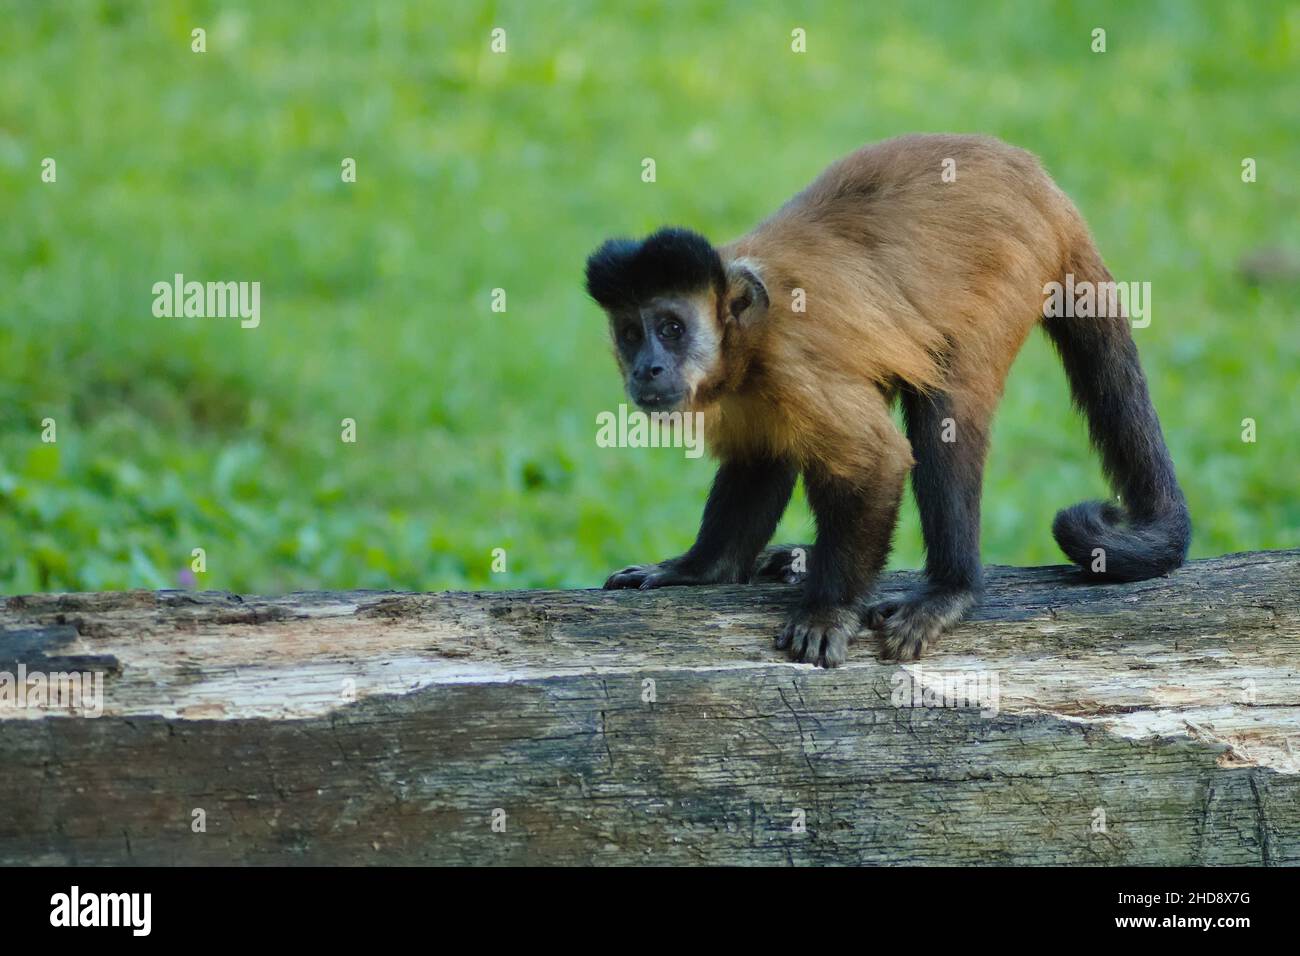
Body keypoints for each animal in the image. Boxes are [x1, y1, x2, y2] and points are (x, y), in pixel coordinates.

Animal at [585, 134, 1190, 665]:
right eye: (632, 334)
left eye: (671, 328)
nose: (647, 368)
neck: (747, 338)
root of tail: (1042, 184)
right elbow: (764, 458)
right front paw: (700, 569)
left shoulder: (789, 360)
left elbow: (879, 461)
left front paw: (828, 611)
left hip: (1010, 268)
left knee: (944, 410)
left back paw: (951, 589)